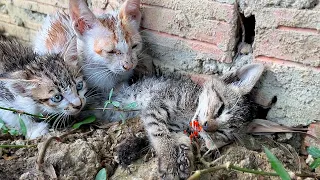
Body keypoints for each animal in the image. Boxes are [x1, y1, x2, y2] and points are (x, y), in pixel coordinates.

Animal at [99, 63, 264, 179]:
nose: (206, 127)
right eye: (220, 109)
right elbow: (160, 134)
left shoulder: (175, 127)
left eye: (221, 132)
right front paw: (169, 161)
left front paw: (186, 158)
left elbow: (180, 138)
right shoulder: (155, 107)